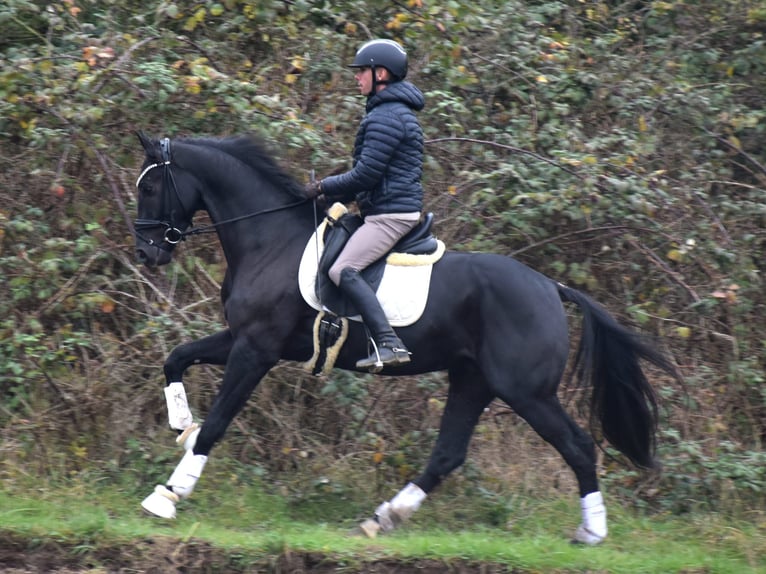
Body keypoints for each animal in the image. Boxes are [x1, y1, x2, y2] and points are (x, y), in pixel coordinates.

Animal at [132, 133, 680, 548]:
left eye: (153, 184)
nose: (146, 252)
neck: (270, 240)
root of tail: (551, 287)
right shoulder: (243, 338)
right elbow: (176, 359)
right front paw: (180, 423)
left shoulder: (256, 350)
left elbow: (219, 422)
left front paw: (169, 493)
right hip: (473, 380)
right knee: (448, 454)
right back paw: (383, 518)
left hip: (526, 391)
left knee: (578, 446)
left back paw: (592, 532)